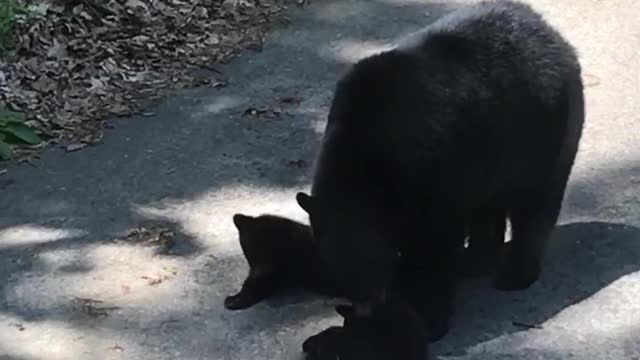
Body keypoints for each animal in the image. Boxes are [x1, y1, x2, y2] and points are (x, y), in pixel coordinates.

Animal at [296, 0, 584, 340]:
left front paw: (429, 316)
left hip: (544, 130)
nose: (366, 307)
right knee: (489, 204)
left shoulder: (431, 177)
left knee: (535, 201)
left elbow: (435, 247)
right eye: (339, 272)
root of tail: (557, 38)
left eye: (369, 264)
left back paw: (516, 273)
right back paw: (476, 260)